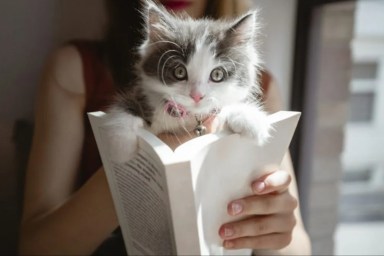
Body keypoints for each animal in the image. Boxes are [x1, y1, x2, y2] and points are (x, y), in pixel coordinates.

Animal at [106, 1, 272, 162]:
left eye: (217, 74)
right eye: (179, 72)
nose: (197, 96)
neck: (191, 117)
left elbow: (224, 106)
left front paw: (250, 118)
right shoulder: (140, 94)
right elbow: (126, 105)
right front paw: (120, 144)